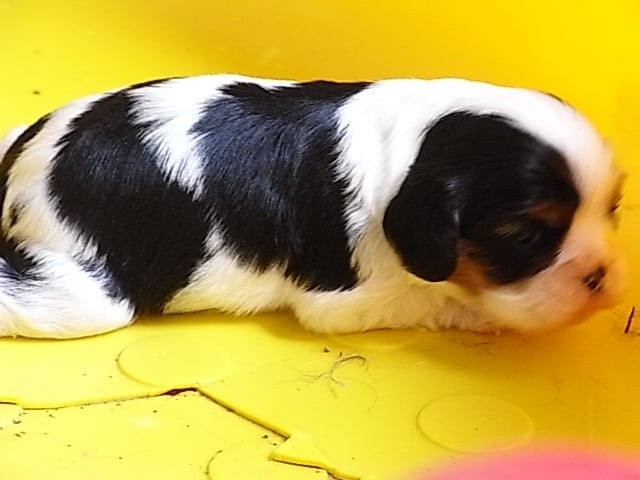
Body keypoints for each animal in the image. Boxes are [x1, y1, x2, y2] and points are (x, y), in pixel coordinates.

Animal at [0, 75, 625, 338]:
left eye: (613, 210)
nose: (601, 277)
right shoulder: (344, 299)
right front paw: (483, 315)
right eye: (524, 236)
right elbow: (432, 298)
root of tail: (19, 167)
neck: (420, 146)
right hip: (83, 294)